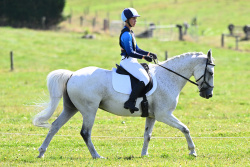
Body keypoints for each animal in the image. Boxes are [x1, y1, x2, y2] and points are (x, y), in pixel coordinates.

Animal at [33, 49, 215, 158]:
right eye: (211, 72)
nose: (208, 94)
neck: (168, 77)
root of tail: (72, 75)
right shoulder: (164, 115)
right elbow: (185, 128)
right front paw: (192, 151)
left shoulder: (152, 116)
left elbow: (147, 135)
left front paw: (144, 154)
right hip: (89, 110)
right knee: (85, 132)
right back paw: (96, 156)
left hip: (71, 108)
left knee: (55, 126)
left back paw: (41, 152)